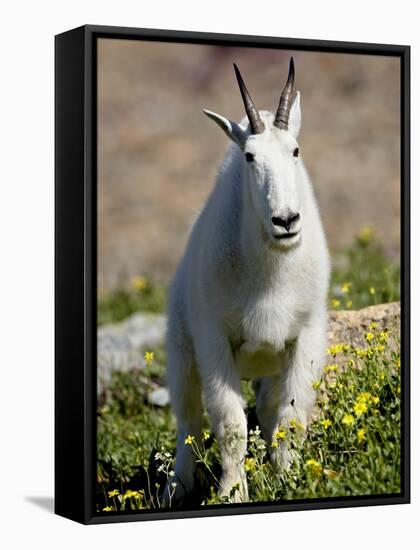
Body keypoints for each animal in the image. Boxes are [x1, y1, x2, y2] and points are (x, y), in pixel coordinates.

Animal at [166, 59, 330, 504]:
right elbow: (231, 425)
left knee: (269, 409)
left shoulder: (306, 334)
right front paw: (232, 492)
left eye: (296, 150)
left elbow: (292, 415)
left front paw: (289, 480)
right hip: (181, 350)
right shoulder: (213, 338)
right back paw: (175, 487)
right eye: (250, 156)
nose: (286, 220)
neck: (270, 272)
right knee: (187, 420)